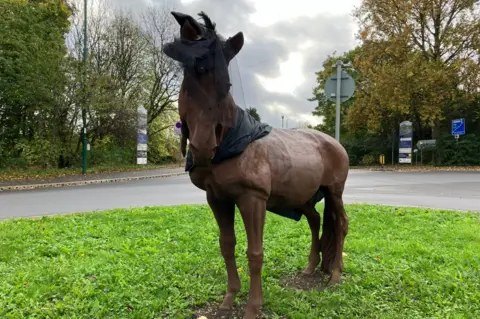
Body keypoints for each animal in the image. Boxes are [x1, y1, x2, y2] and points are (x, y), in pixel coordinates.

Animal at [164, 11, 348, 319]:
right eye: (189, 80)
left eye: (226, 85)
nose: (203, 147)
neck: (235, 142)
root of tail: (333, 143)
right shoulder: (217, 199)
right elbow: (227, 246)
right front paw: (229, 299)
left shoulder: (253, 199)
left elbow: (255, 252)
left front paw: (253, 306)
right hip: (304, 197)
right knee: (315, 221)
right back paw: (310, 268)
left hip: (334, 192)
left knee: (341, 224)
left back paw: (334, 275)